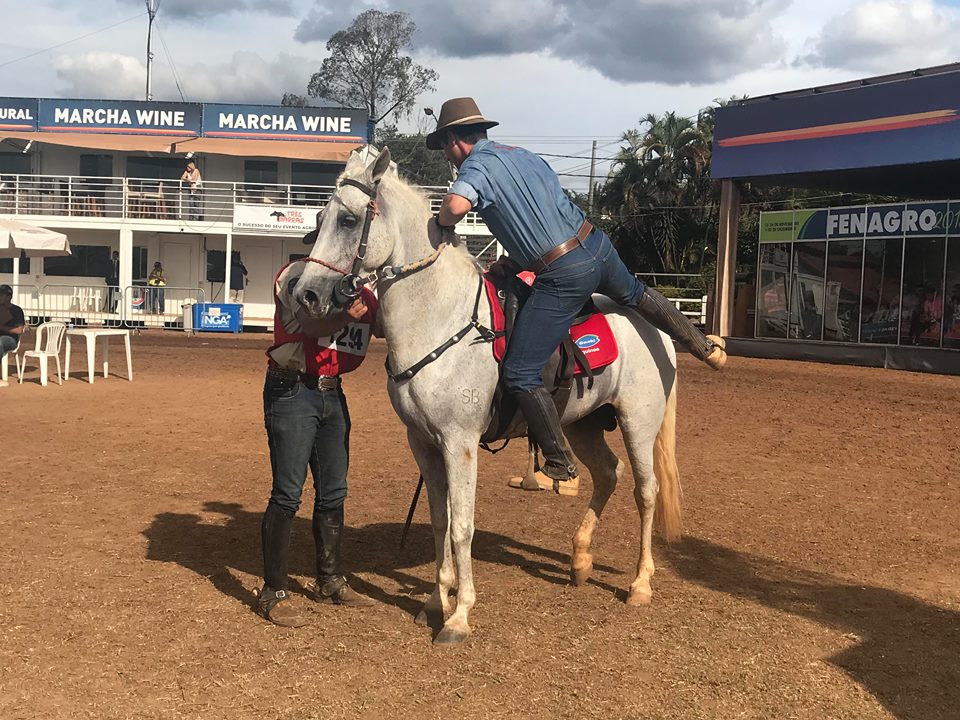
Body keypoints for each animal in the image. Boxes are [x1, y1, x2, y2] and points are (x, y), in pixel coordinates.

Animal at [296, 149, 680, 644]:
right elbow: (440, 521)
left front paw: (459, 616)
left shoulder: (460, 443)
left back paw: (640, 584)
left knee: (645, 491)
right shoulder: (423, 442)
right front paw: (433, 601)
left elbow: (462, 526)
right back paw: (579, 561)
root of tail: (654, 329)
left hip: (638, 420)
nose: (306, 293)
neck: (441, 316)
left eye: (346, 219)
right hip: (582, 424)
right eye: (319, 217)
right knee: (607, 475)